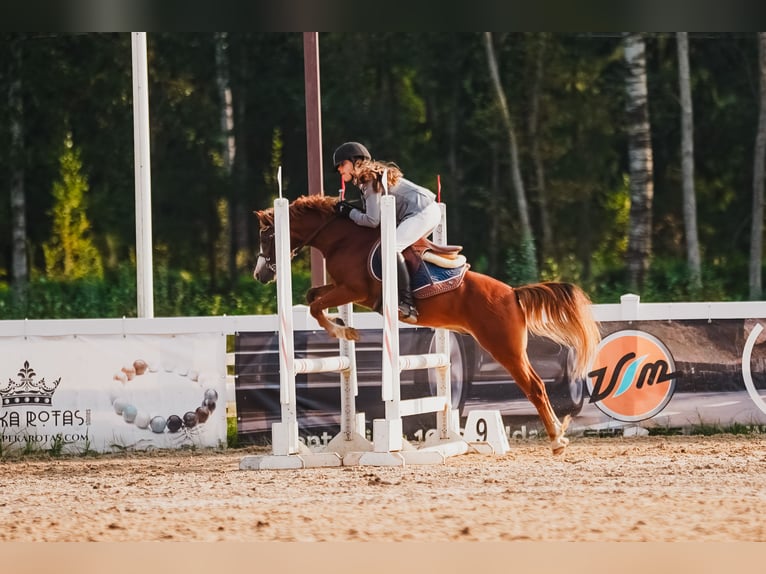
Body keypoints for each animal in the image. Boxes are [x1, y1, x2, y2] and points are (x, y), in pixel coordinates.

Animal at [255, 196, 604, 456]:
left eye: (267, 236)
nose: (261, 275)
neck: (344, 239)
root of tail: (513, 294)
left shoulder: (353, 289)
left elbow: (316, 305)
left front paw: (343, 330)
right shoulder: (342, 289)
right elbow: (313, 297)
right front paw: (341, 323)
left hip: (505, 349)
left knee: (535, 387)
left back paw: (556, 441)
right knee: (538, 385)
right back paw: (558, 435)